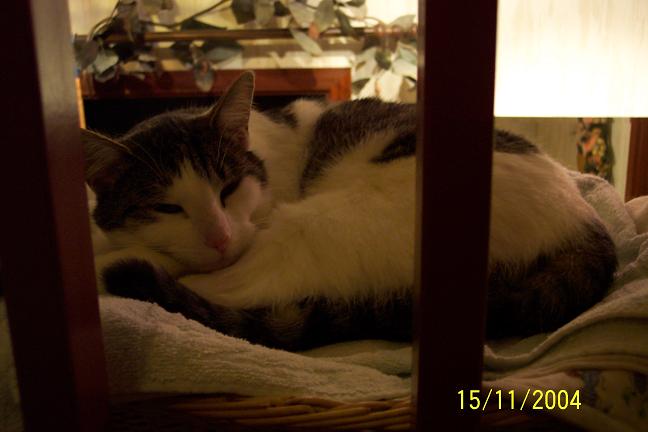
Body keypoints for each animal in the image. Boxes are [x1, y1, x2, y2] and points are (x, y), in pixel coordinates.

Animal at [83, 71, 617, 350]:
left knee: (228, 290)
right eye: (166, 206)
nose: (219, 237)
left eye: (229, 187)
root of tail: (587, 222)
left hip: (317, 228)